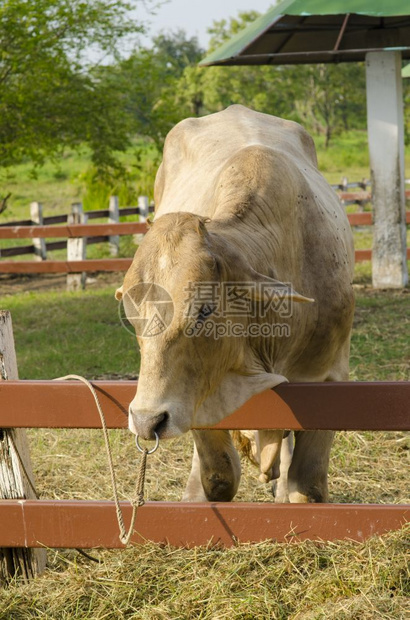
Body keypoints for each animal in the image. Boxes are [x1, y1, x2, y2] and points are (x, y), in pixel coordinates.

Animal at [116, 106, 356, 504]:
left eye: (205, 310)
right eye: (131, 312)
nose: (147, 420)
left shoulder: (329, 377)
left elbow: (306, 487)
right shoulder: (198, 394)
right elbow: (220, 477)